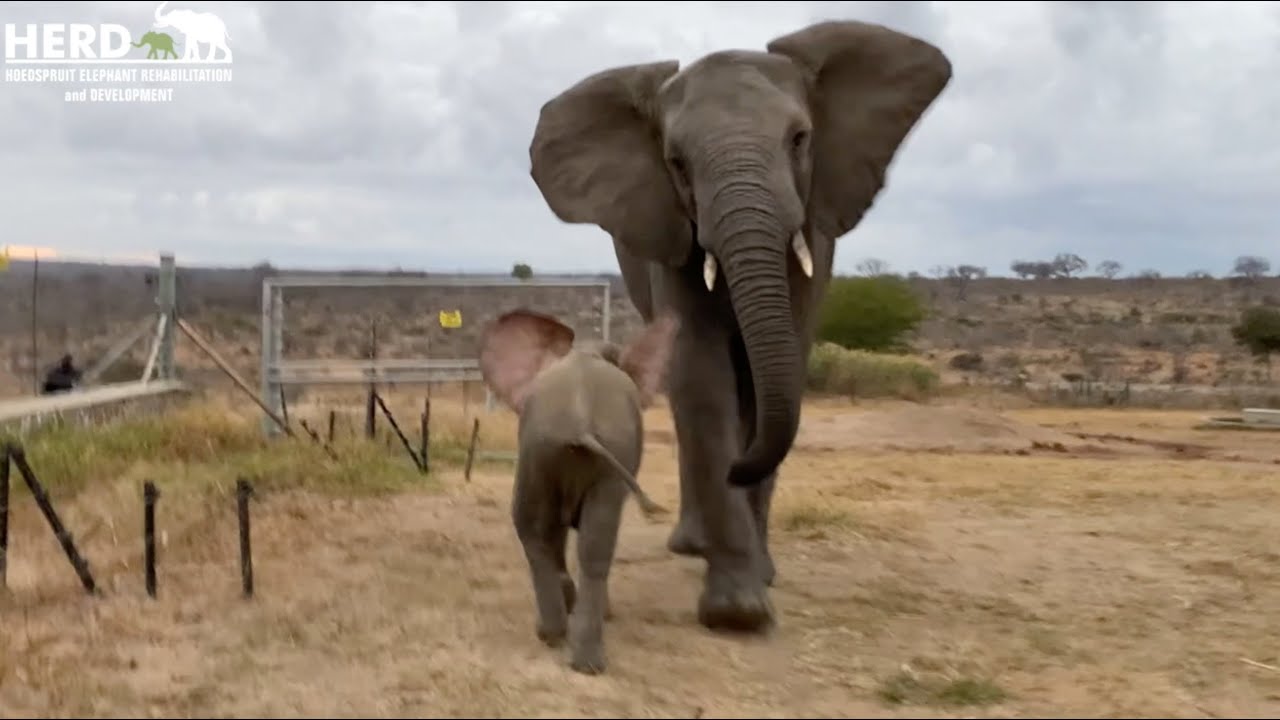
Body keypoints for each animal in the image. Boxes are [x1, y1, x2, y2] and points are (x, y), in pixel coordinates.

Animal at [477, 308, 678, 675]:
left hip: (545, 451)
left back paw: (554, 636)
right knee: (589, 544)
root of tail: (580, 423)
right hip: (568, 452)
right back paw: (583, 656)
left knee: (536, 529)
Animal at [527, 20, 952, 634]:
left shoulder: (814, 230)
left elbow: (772, 373)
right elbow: (702, 382)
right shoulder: (670, 234)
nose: (741, 468)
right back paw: (693, 545)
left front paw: (754, 582)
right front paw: (737, 611)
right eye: (676, 162)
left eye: (800, 139)